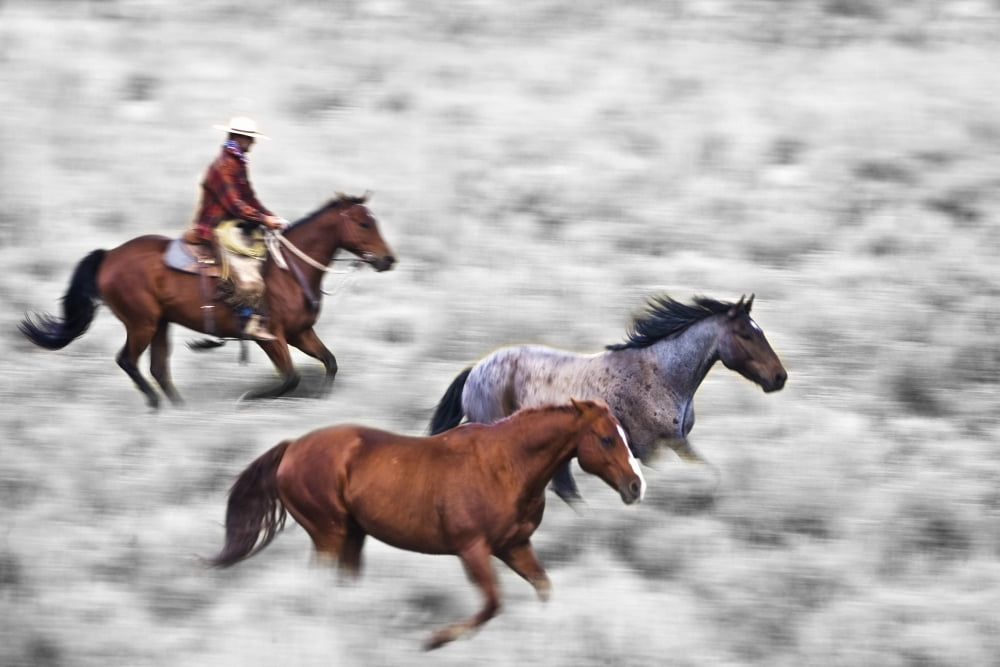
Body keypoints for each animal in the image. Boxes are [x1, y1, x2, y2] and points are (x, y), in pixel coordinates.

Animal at [19, 193, 395, 408]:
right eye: (364, 223)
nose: (388, 260)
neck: (288, 271)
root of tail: (109, 255)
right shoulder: (270, 336)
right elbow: (290, 378)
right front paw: (247, 399)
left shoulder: (300, 333)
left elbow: (329, 363)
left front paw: (323, 401)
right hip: (142, 323)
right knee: (128, 360)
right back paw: (157, 404)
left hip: (161, 324)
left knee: (158, 367)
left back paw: (179, 407)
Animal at [207, 399, 645, 650]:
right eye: (607, 438)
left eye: (624, 434)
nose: (636, 487)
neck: (507, 466)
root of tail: (291, 449)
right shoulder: (473, 549)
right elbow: (492, 604)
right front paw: (435, 640)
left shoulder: (514, 547)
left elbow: (543, 588)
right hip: (328, 533)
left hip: (353, 536)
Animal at [429, 293, 787, 504]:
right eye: (745, 334)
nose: (779, 377)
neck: (663, 374)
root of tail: (474, 371)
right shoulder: (660, 447)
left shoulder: (672, 444)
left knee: (565, 489)